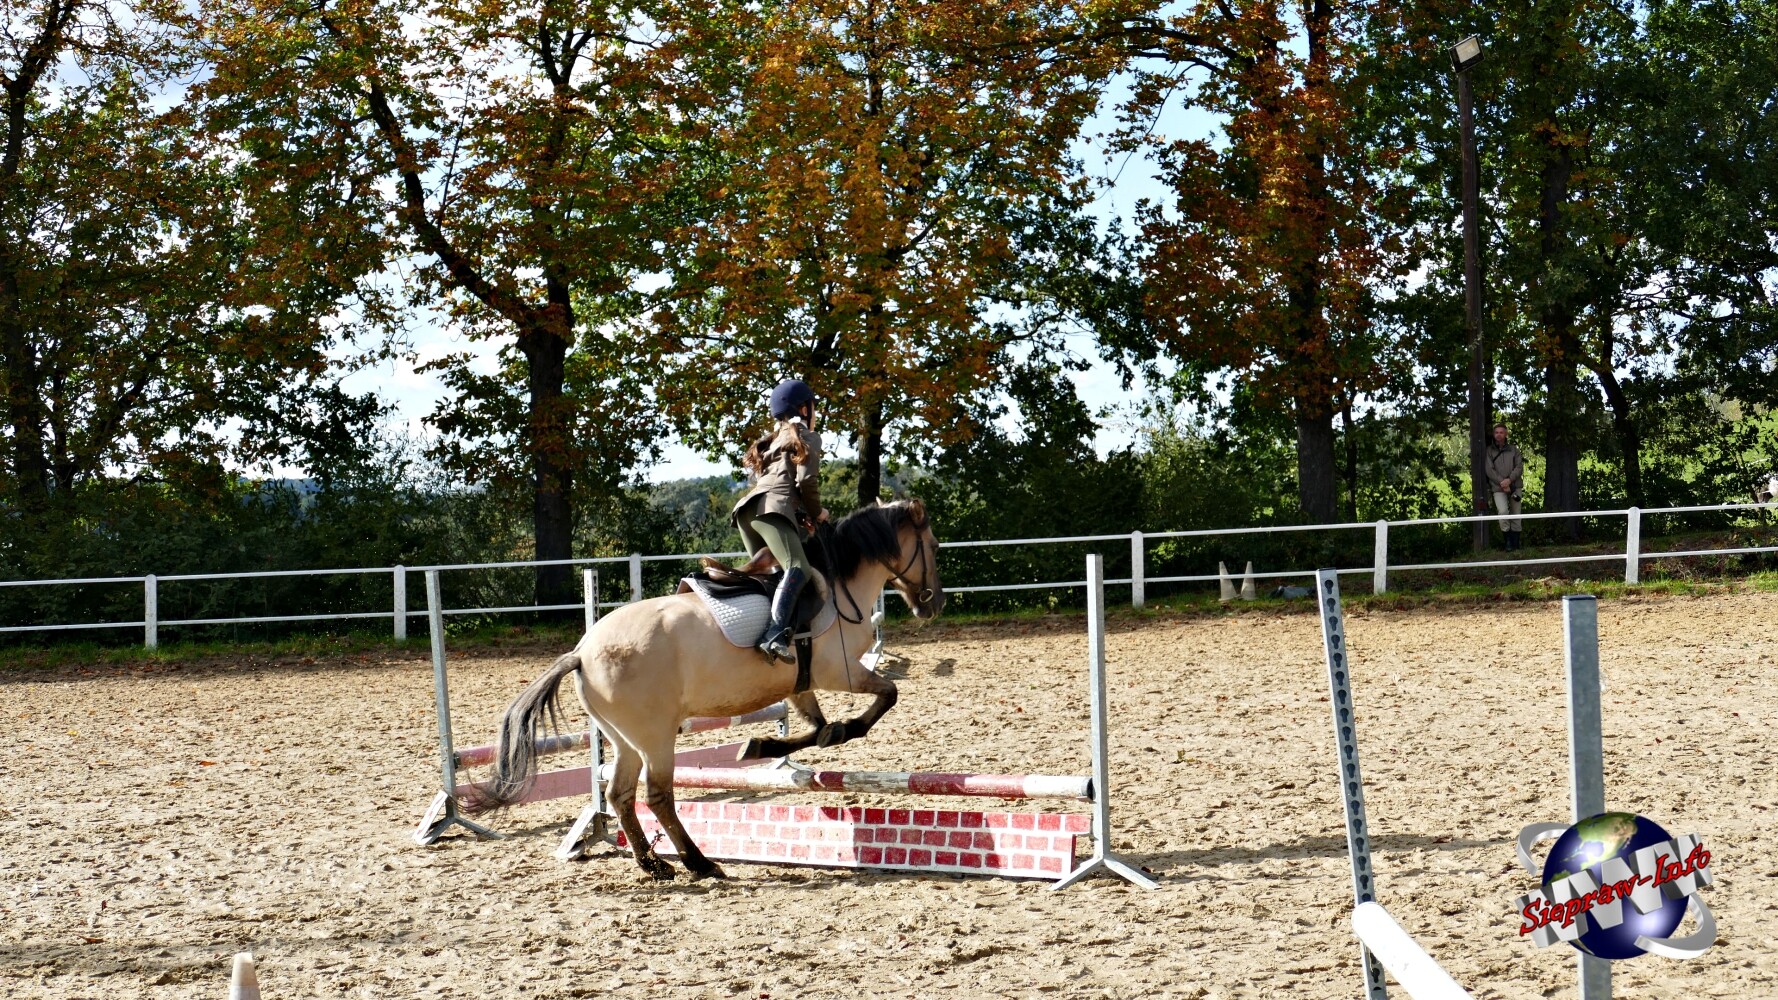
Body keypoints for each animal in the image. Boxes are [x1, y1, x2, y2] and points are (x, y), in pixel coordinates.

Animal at [464, 498, 944, 881]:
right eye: (935, 547)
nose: (932, 605)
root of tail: (580, 652)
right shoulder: (840, 672)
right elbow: (885, 697)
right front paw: (828, 733)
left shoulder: (799, 683)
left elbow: (814, 724)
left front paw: (767, 744)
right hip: (656, 738)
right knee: (657, 796)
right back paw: (699, 862)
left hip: (624, 740)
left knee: (619, 793)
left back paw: (655, 865)